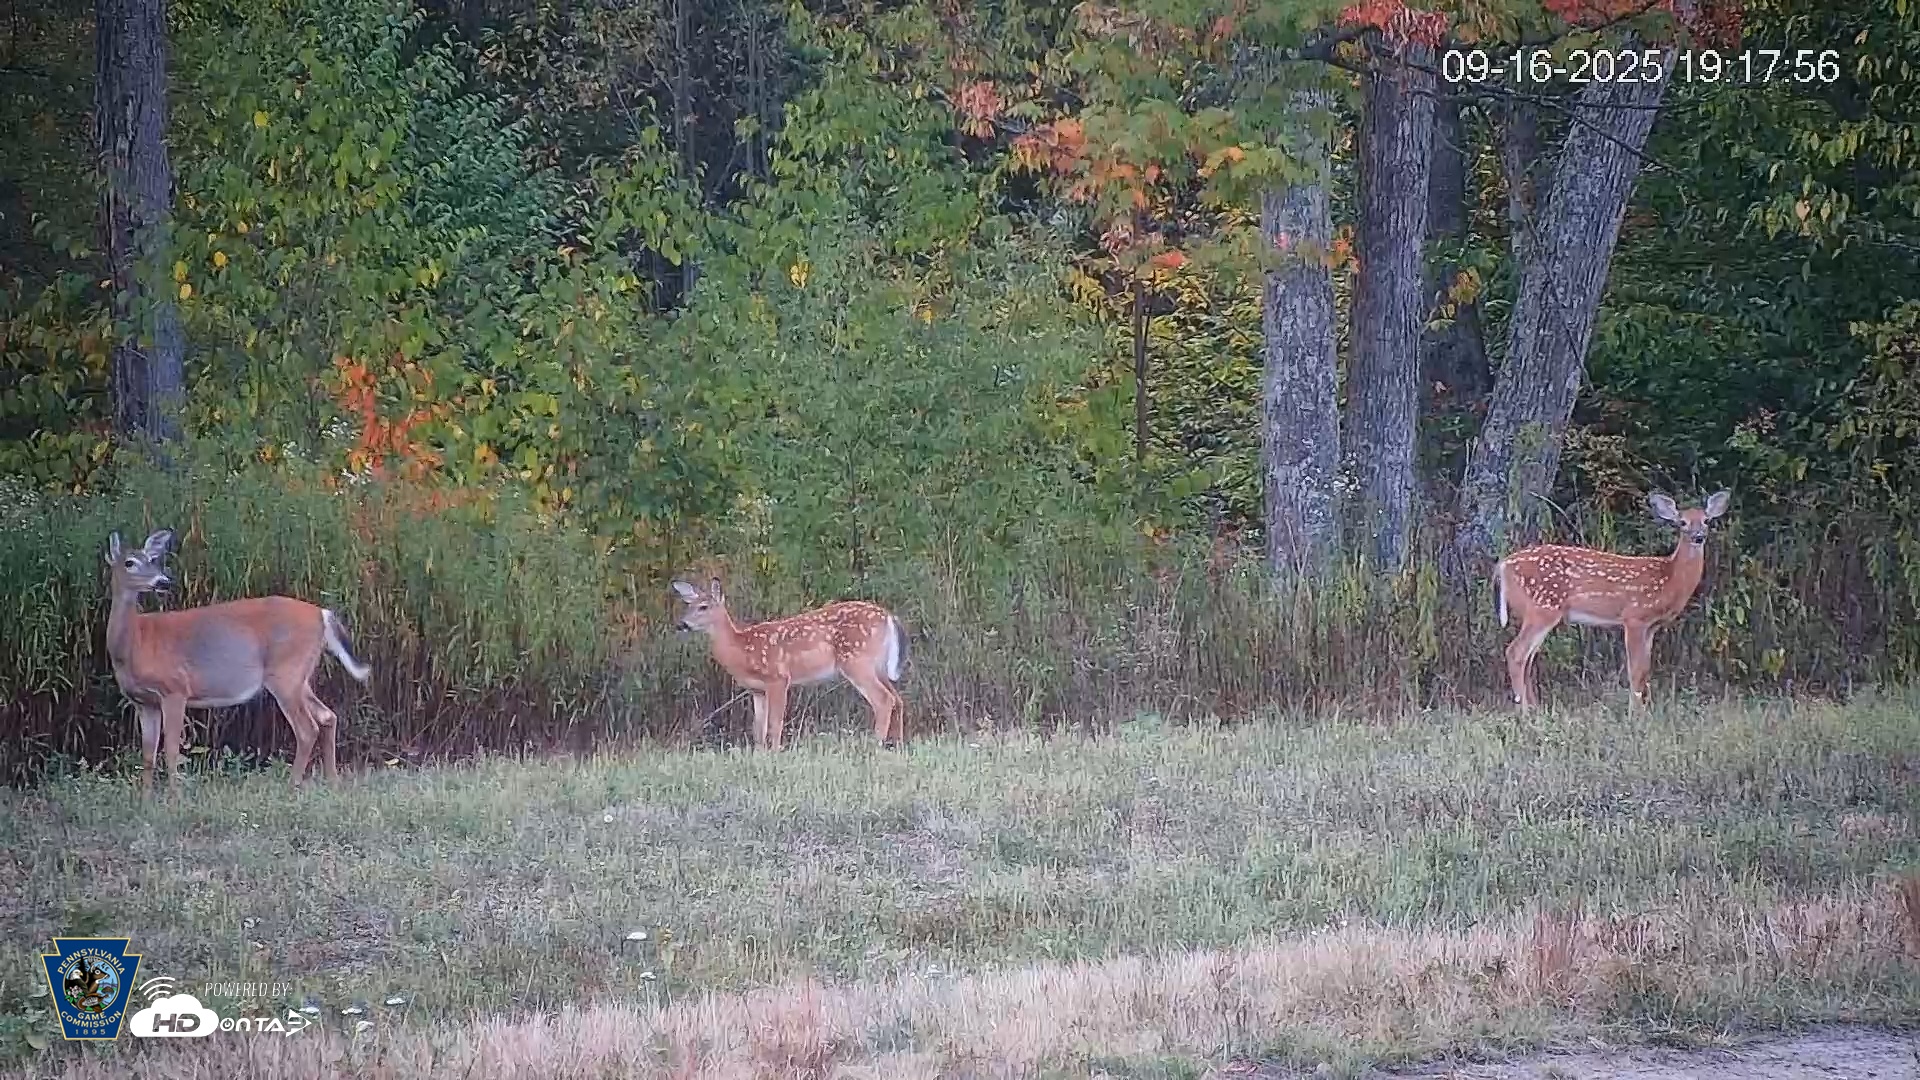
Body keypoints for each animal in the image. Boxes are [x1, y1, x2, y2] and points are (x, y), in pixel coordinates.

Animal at [104, 529, 372, 796]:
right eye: (130, 562)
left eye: (151, 560)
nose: (162, 581)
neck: (135, 644)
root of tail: (322, 614)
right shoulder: (143, 702)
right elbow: (148, 754)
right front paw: (146, 799)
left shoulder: (175, 688)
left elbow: (170, 750)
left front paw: (174, 798)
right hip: (299, 675)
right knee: (328, 716)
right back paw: (333, 782)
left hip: (286, 672)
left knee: (307, 729)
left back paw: (291, 786)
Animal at [671, 577, 908, 750]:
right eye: (688, 605)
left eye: (703, 607)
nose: (682, 624)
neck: (742, 650)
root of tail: (888, 617)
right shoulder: (756, 690)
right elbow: (758, 728)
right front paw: (759, 754)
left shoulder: (778, 677)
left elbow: (775, 723)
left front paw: (775, 752)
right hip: (878, 666)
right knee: (897, 699)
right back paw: (897, 745)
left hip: (856, 661)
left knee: (884, 700)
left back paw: (874, 746)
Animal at [1494, 490, 1731, 709]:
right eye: (1682, 522)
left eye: (1707, 520)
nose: (1698, 536)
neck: (1668, 579)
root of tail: (1503, 566)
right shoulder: (1634, 617)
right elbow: (1635, 671)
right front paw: (1635, 714)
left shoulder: (1652, 626)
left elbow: (1645, 670)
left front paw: (1644, 711)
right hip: (1542, 607)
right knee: (1516, 653)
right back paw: (1525, 712)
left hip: (1539, 611)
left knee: (1528, 658)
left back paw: (1536, 708)